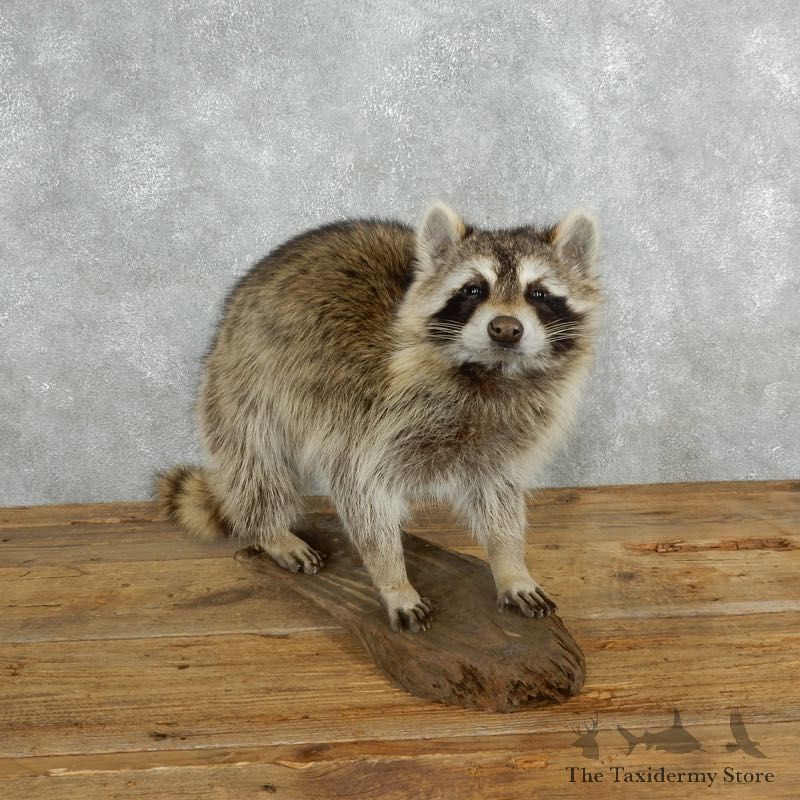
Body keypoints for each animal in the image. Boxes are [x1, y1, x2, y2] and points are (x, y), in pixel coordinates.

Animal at [157, 203, 602, 632]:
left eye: (538, 292)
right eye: (473, 289)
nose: (505, 329)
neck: (491, 374)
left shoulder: (503, 433)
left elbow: (499, 495)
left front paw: (510, 563)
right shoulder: (369, 415)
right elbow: (361, 492)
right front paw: (394, 580)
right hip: (246, 373)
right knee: (254, 458)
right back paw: (270, 529)